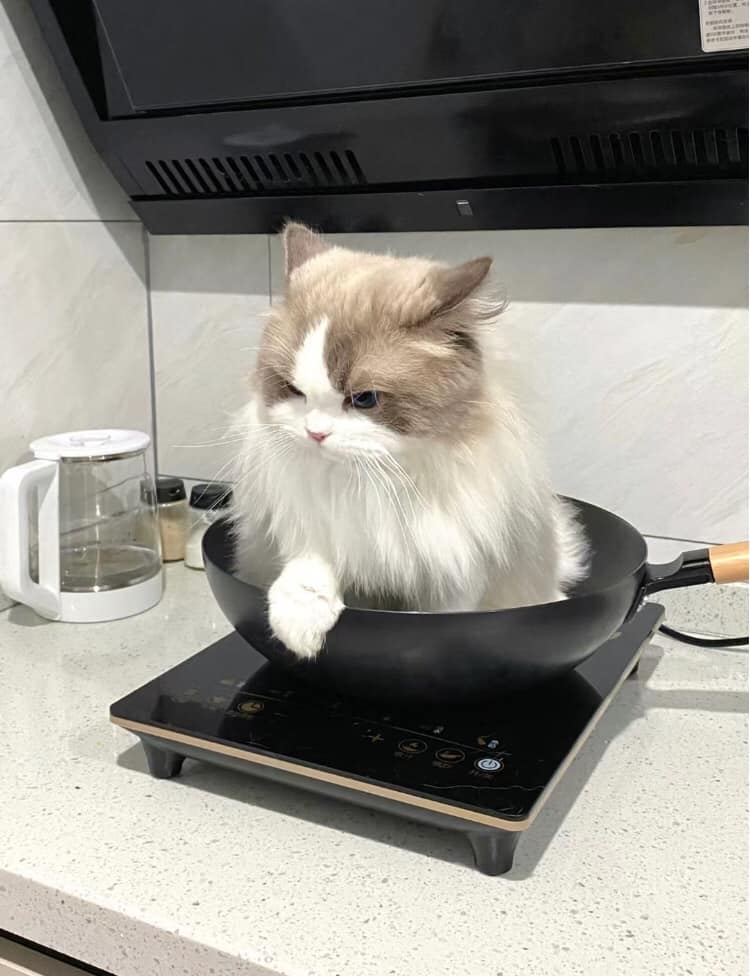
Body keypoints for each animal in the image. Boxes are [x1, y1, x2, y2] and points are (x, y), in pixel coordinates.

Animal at [232, 225, 592, 660]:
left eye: (364, 399)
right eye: (293, 390)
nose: (315, 433)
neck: (371, 484)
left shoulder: (454, 571)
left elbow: (440, 619)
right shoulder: (312, 525)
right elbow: (308, 573)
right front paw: (299, 631)